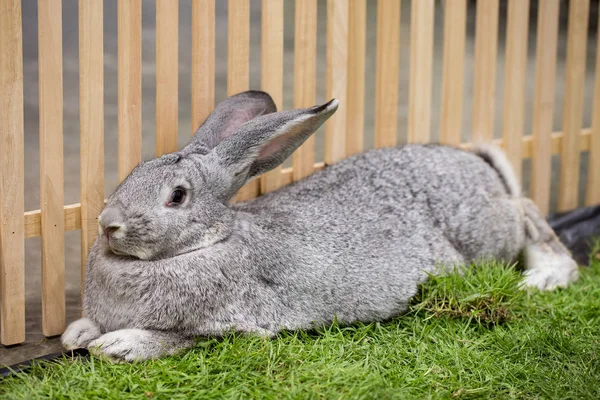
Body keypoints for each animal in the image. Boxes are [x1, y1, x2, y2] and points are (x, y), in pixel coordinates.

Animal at [61, 90, 576, 362]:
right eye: (132, 172)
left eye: (177, 196)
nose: (108, 224)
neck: (206, 244)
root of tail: (481, 170)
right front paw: (76, 334)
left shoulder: (230, 327)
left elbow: (173, 339)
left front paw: (118, 345)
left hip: (485, 230)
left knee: (528, 212)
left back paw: (545, 276)